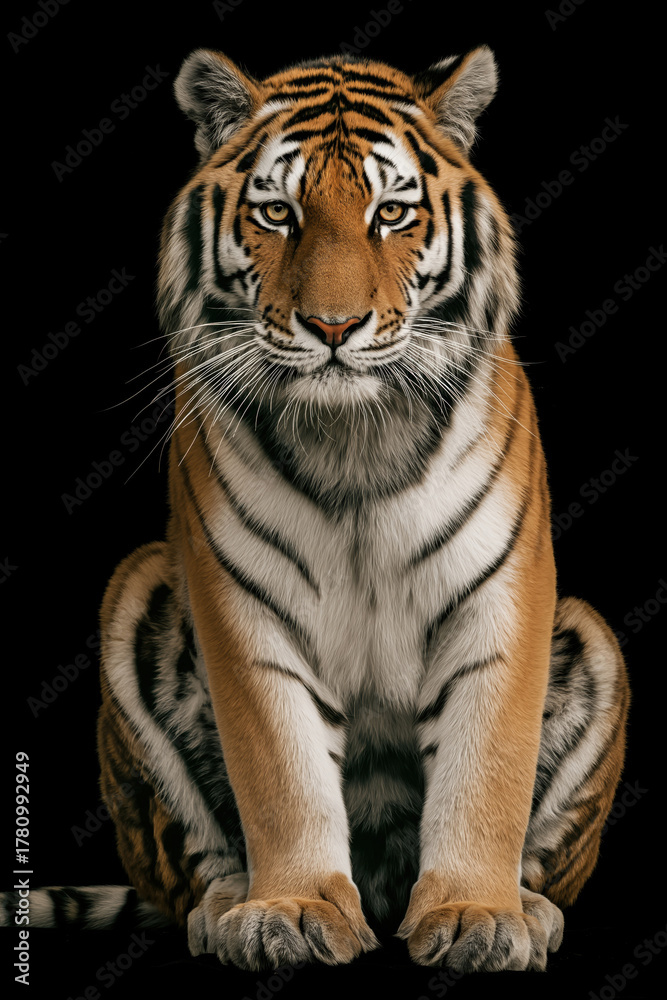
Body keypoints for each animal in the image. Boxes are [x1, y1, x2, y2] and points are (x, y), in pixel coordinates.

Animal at [2, 46, 629, 974]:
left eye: (391, 212)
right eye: (277, 212)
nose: (334, 327)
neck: (353, 438)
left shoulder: (499, 598)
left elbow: (485, 771)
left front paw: (476, 916)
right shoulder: (242, 608)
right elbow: (281, 773)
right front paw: (292, 911)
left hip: (589, 634)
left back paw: (528, 908)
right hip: (136, 592)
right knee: (191, 865)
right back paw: (225, 908)